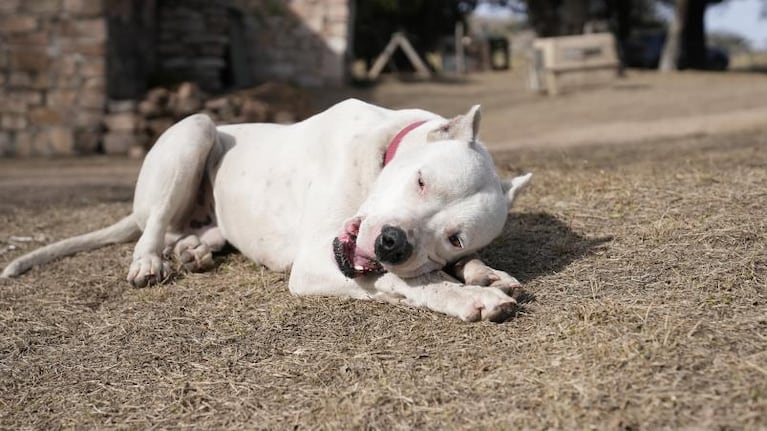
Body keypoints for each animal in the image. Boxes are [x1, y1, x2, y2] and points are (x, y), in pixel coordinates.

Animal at [1, 101, 528, 322]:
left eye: (455, 237)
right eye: (421, 181)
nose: (392, 243)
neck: (385, 148)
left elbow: (448, 268)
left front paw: (486, 273)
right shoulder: (316, 263)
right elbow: (414, 281)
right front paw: (470, 298)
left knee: (189, 231)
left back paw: (194, 250)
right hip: (194, 130)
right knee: (154, 226)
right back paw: (150, 261)